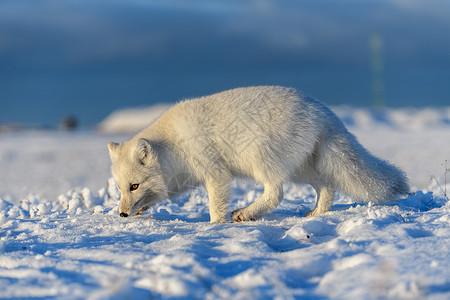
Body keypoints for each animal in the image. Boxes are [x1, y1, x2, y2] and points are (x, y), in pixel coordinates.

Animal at [108, 86, 408, 223]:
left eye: (135, 185)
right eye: (121, 188)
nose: (121, 214)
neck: (173, 145)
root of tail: (321, 109)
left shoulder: (215, 173)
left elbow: (216, 205)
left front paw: (214, 226)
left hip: (261, 158)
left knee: (276, 193)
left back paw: (245, 214)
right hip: (302, 169)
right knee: (327, 186)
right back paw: (315, 214)